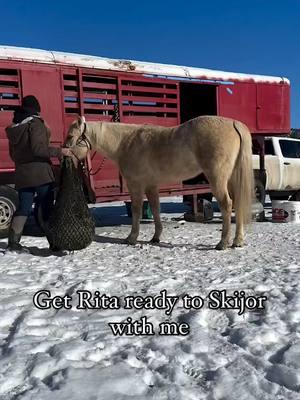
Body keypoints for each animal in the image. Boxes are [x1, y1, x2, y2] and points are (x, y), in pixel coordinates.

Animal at [65, 114, 253, 248]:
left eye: (71, 136)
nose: (63, 152)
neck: (126, 143)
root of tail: (233, 123)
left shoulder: (136, 185)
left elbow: (136, 210)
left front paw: (131, 238)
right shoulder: (151, 186)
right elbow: (155, 210)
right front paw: (156, 237)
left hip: (218, 179)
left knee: (227, 204)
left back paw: (222, 243)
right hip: (232, 179)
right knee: (238, 203)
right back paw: (238, 241)